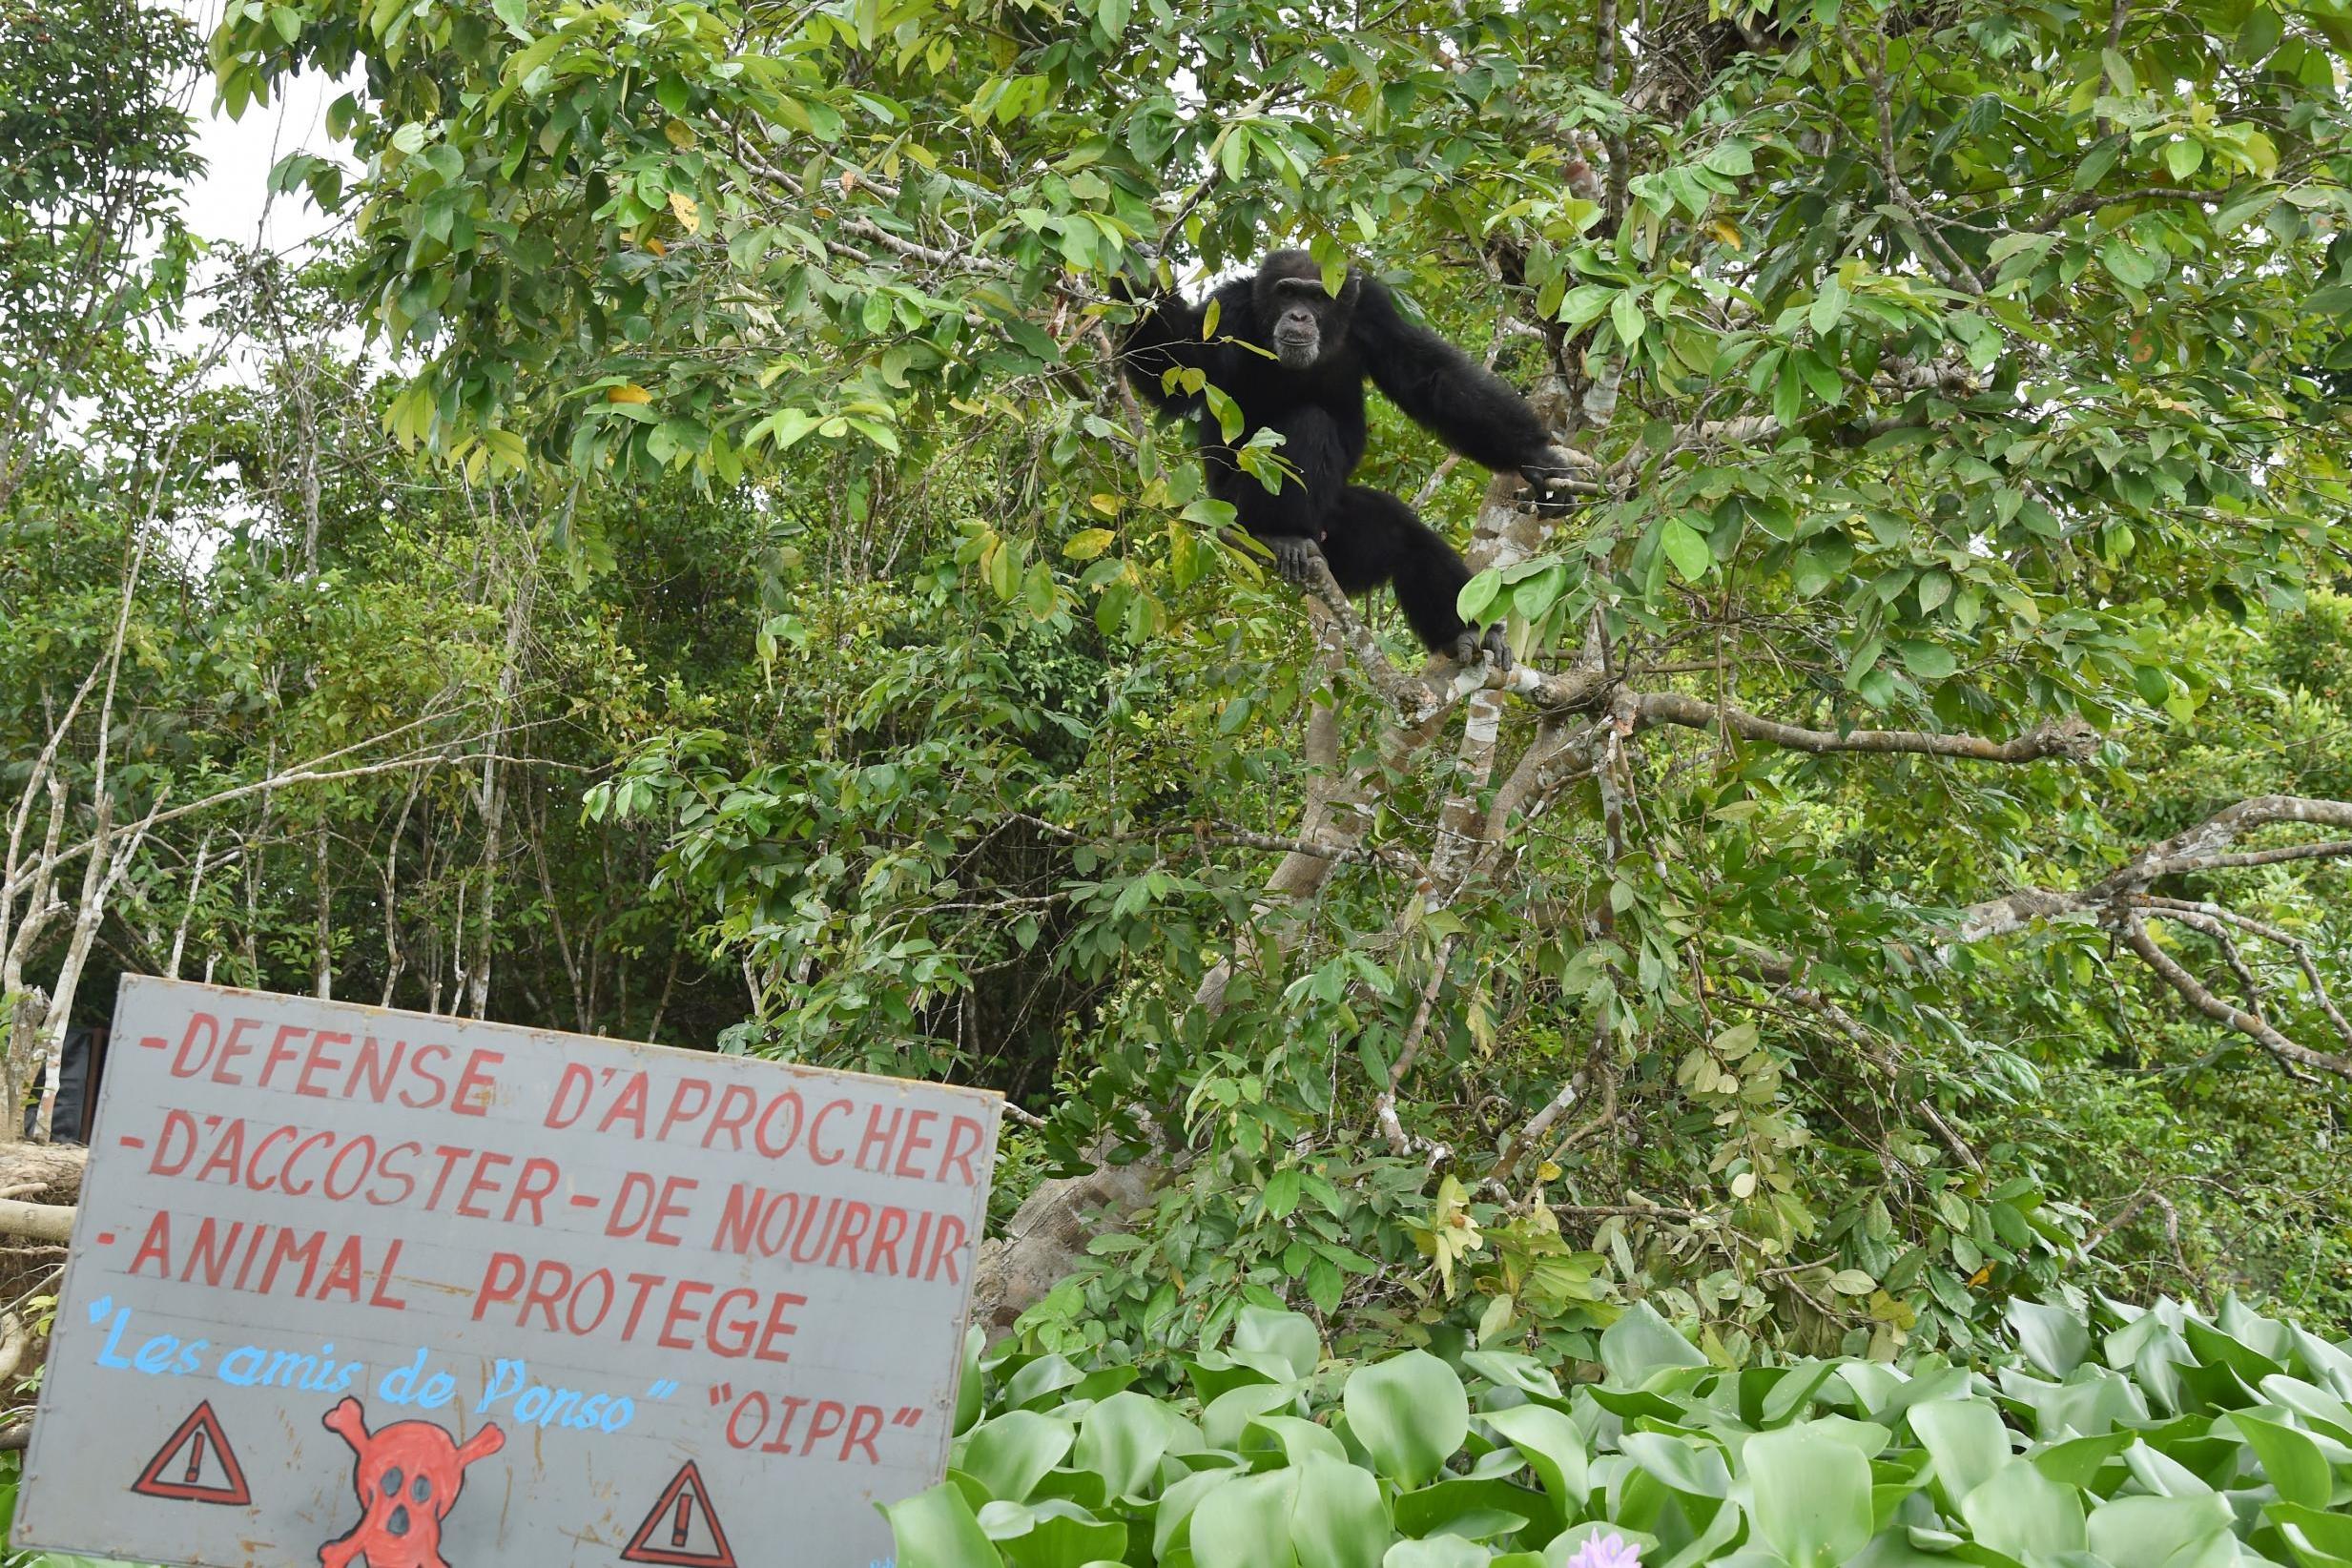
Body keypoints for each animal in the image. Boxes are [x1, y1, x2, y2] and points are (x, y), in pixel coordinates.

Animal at [1119, 248, 1580, 667]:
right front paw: (1140, 279)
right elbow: (1180, 367)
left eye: (1317, 297)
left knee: (1407, 538)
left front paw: (1538, 459)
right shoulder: (1228, 311)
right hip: (1231, 509)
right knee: (1309, 423)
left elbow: (1433, 380)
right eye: (1287, 293)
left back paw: (1464, 634)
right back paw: (1281, 534)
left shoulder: (1375, 312)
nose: (1299, 316)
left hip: (1344, 534)